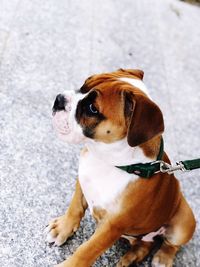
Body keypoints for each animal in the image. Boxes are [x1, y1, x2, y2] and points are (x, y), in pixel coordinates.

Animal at [47, 69, 196, 267]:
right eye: (83, 85)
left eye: (92, 108)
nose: (59, 99)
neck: (108, 160)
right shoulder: (82, 181)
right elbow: (75, 208)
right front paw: (62, 228)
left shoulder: (111, 226)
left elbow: (87, 250)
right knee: (145, 245)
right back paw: (132, 257)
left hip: (184, 220)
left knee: (171, 244)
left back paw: (162, 258)